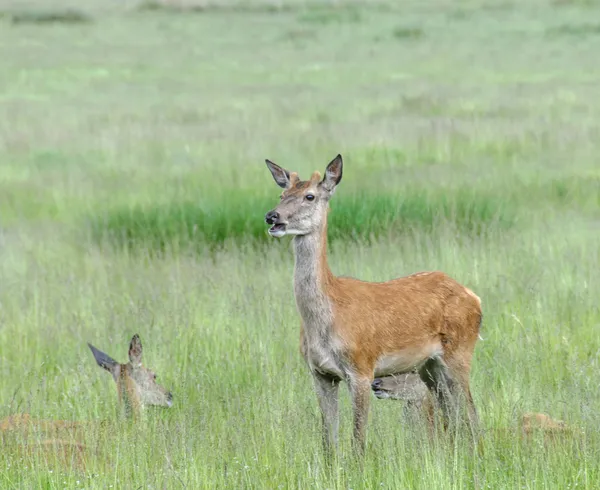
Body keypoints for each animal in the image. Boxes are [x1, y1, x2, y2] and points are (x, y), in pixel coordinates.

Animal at [262, 154, 482, 456]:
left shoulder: (361, 368)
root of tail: (474, 297)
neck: (328, 316)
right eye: (282, 195)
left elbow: (358, 441)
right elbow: (328, 442)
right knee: (451, 411)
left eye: (310, 196)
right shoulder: (319, 373)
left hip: (460, 352)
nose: (272, 216)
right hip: (429, 365)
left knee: (471, 412)